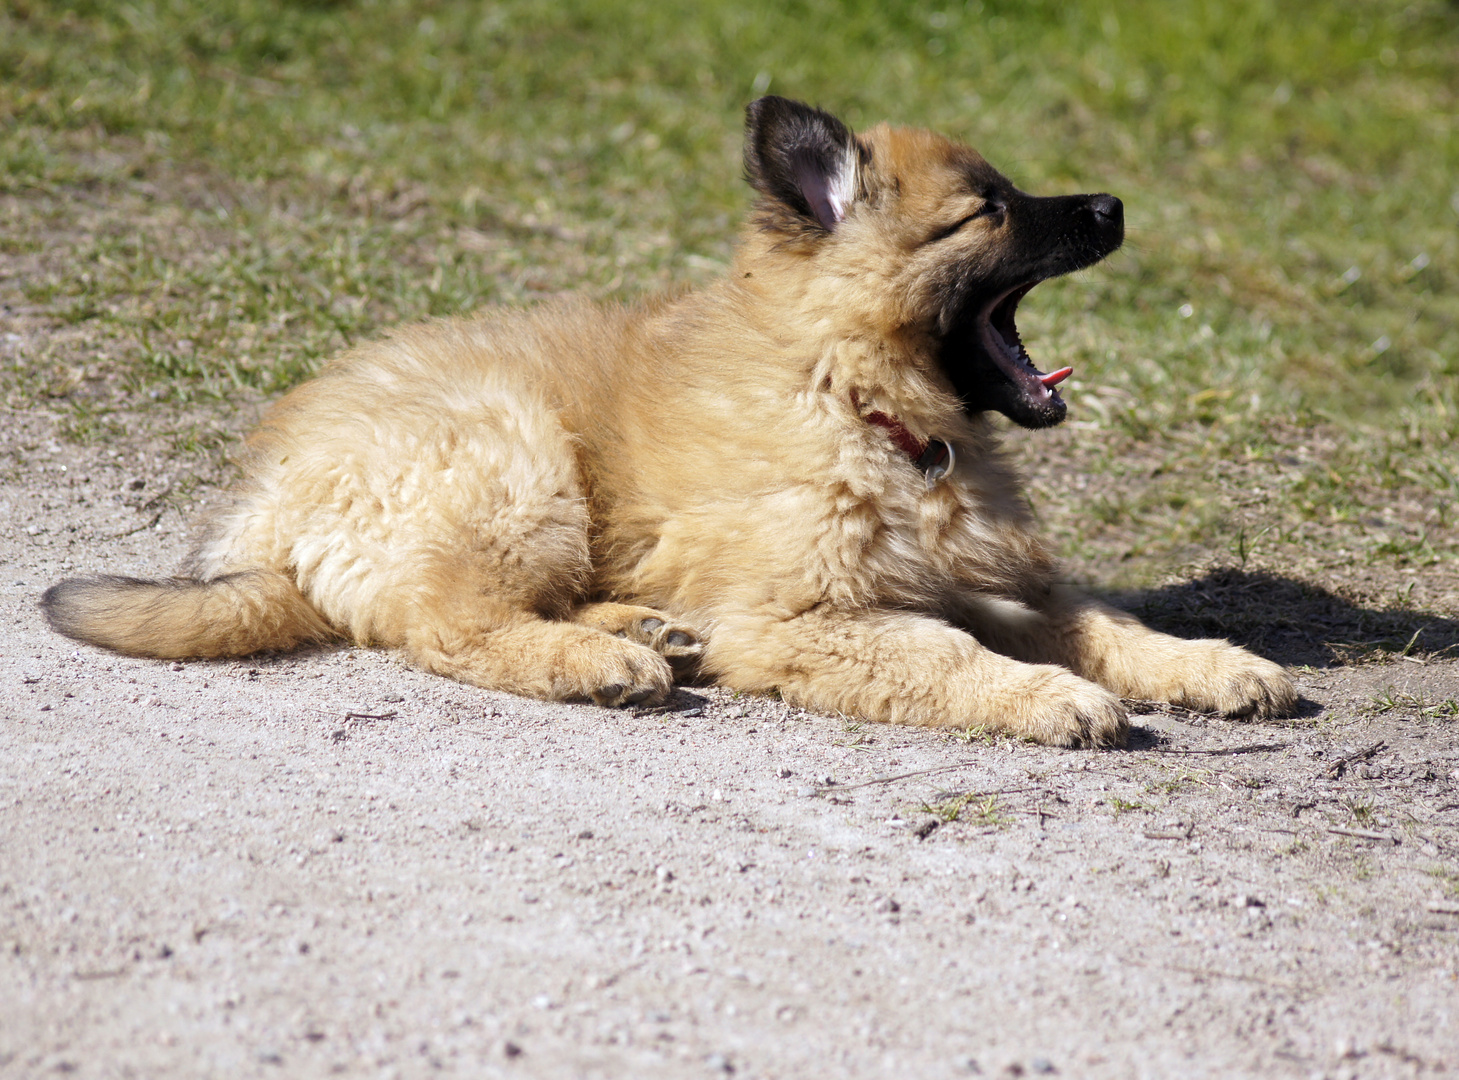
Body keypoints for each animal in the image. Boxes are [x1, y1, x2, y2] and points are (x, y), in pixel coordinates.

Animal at [39, 97, 1301, 747]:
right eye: (988, 210)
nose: (1114, 206)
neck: (852, 398)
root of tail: (263, 512)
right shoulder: (804, 617)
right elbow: (944, 654)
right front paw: (1047, 699)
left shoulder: (992, 578)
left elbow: (1105, 621)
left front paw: (1213, 666)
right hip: (514, 461)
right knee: (447, 626)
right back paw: (595, 659)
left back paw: (642, 628)